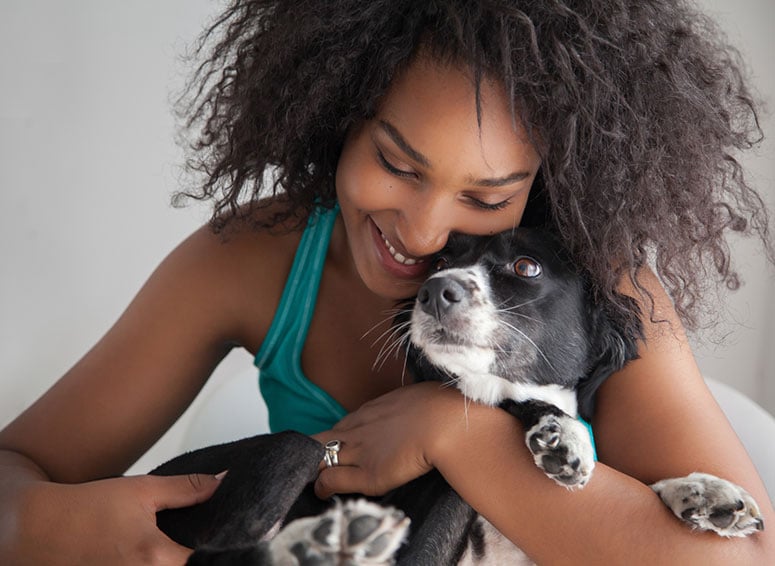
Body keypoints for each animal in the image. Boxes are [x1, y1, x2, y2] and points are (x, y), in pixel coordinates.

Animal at [152, 229, 764, 564]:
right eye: (440, 263)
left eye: (526, 266)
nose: (431, 290)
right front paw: (562, 436)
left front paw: (704, 493)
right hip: (283, 458)